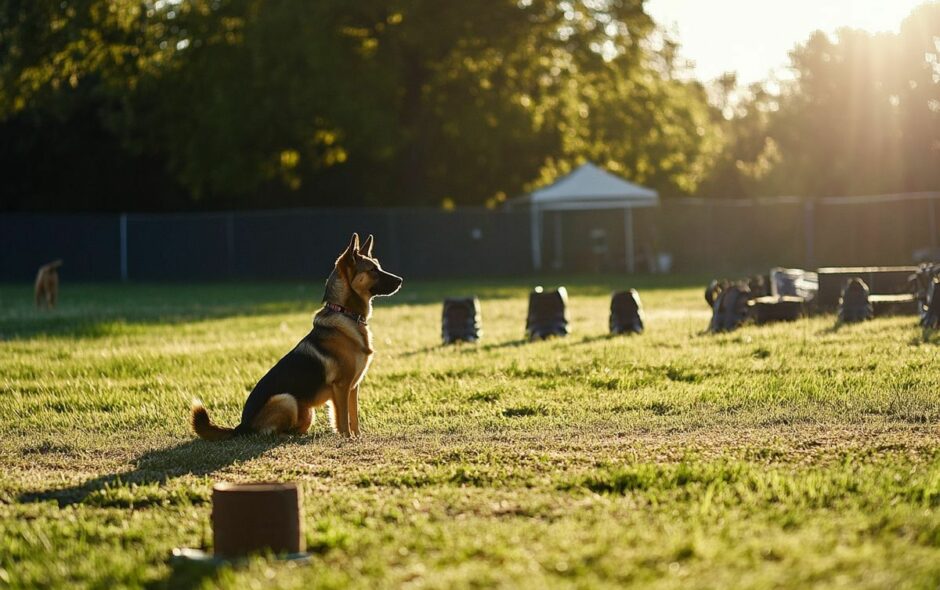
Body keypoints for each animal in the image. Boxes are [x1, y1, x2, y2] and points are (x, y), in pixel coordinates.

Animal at [191, 235, 400, 440]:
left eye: (378, 266)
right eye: (373, 270)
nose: (401, 280)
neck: (345, 313)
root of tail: (241, 426)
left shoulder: (352, 388)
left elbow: (354, 417)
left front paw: (357, 437)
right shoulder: (341, 387)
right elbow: (343, 419)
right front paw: (347, 439)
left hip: (307, 412)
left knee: (294, 429)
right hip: (286, 399)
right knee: (269, 434)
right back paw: (286, 438)